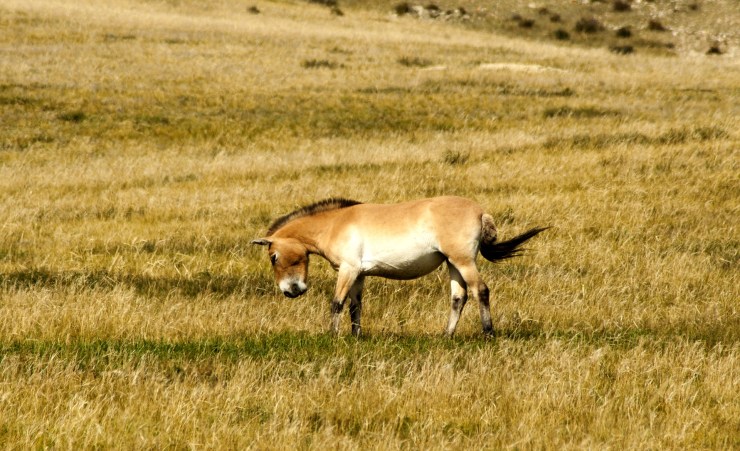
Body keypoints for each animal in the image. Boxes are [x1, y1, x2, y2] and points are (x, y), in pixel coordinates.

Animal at [252, 196, 547, 337]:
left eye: (273, 257)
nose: (290, 290)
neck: (335, 223)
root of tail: (480, 212)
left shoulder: (348, 269)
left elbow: (336, 303)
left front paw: (332, 336)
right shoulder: (359, 274)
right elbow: (355, 306)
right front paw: (355, 336)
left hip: (463, 261)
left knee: (480, 291)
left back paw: (488, 334)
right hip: (452, 263)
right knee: (458, 297)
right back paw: (447, 335)